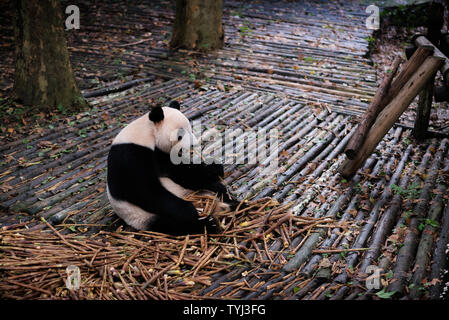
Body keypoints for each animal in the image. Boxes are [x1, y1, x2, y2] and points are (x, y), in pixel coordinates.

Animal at [105, 100, 234, 235]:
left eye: (190, 129)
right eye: (180, 134)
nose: (193, 145)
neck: (148, 133)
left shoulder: (162, 155)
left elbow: (182, 172)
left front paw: (214, 168)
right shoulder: (130, 155)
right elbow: (144, 190)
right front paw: (190, 210)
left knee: (214, 187)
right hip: (142, 217)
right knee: (175, 224)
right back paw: (209, 224)